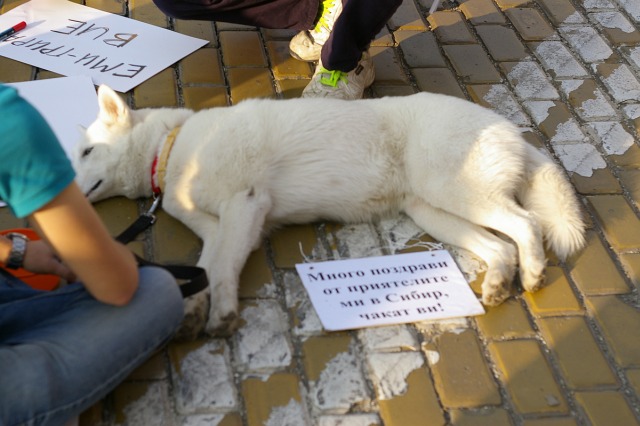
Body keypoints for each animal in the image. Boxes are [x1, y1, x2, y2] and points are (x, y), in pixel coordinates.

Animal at [71, 84, 584, 336]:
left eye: (84, 153)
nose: (60, 195)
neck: (173, 147)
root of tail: (508, 128)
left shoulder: (245, 208)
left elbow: (223, 270)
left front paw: (222, 315)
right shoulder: (219, 228)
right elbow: (205, 268)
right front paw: (195, 308)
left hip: (451, 191)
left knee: (526, 224)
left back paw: (533, 274)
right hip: (433, 211)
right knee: (501, 247)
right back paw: (497, 284)